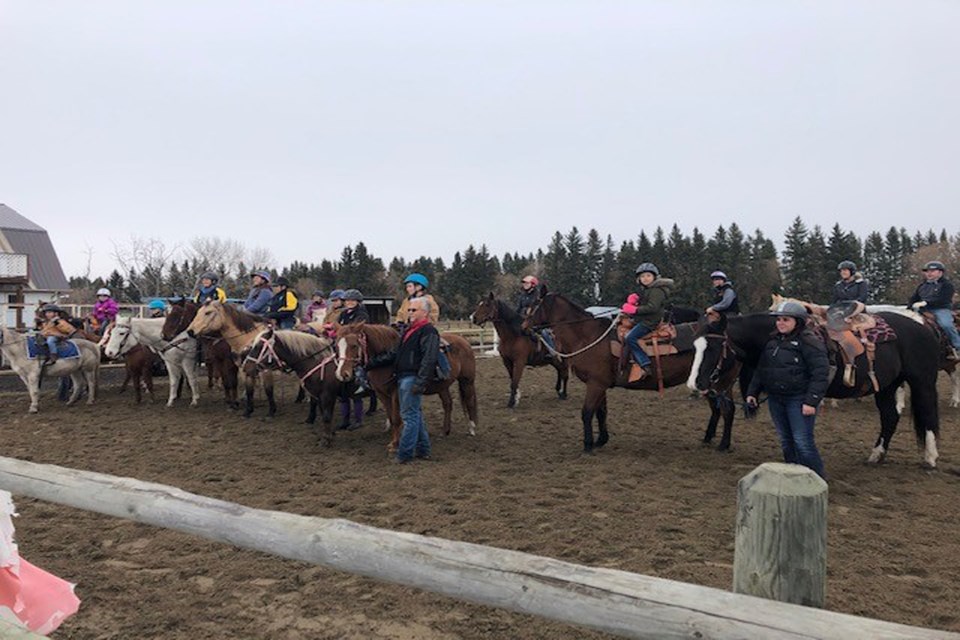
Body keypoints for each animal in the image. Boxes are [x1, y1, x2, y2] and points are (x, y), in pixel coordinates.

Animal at [334, 324, 480, 450]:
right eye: (337, 346)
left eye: (354, 345)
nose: (342, 374)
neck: (385, 361)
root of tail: (464, 340)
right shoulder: (381, 394)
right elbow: (391, 416)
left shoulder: (396, 393)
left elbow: (396, 418)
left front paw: (395, 443)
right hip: (442, 386)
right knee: (448, 404)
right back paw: (445, 431)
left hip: (467, 381)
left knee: (470, 402)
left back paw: (472, 428)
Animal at [524, 292, 696, 452]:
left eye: (534, 304)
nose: (524, 327)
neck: (588, 336)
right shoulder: (601, 385)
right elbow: (601, 412)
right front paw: (601, 440)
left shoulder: (595, 384)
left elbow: (587, 413)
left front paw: (588, 445)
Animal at [692, 312, 940, 468]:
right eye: (696, 346)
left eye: (713, 347)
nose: (697, 383)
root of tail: (924, 328)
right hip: (887, 387)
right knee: (889, 418)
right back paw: (876, 455)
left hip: (922, 383)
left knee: (928, 415)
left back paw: (930, 458)